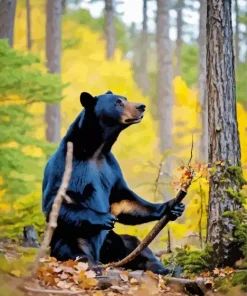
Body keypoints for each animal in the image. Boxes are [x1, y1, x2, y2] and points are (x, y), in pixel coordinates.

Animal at [42, 91, 185, 276]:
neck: (96, 150)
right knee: (75, 252)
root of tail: (101, 256)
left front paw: (172, 206)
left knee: (135, 246)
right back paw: (94, 265)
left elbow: (124, 199)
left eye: (124, 98)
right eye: (118, 103)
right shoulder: (67, 166)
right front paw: (104, 217)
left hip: (112, 240)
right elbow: (55, 202)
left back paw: (164, 269)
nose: (141, 106)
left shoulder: (110, 168)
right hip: (74, 236)